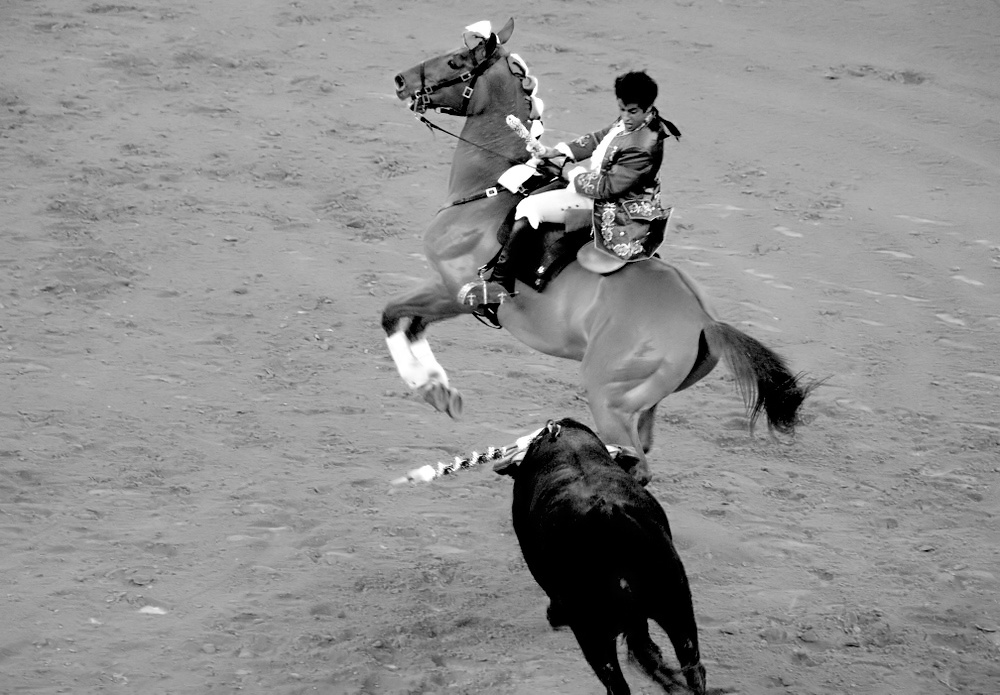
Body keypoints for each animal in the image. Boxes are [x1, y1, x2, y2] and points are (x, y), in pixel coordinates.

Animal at [382, 17, 812, 484]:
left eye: (458, 61)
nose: (401, 80)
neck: (490, 189)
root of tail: (704, 320)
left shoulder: (455, 290)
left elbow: (393, 313)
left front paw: (428, 386)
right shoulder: (447, 292)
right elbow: (406, 321)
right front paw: (438, 391)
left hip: (608, 397)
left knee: (632, 460)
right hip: (643, 404)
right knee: (642, 449)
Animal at [496, 418, 708, 695]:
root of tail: (607, 518)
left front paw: (554, 615)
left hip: (592, 631)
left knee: (617, 683)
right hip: (677, 604)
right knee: (692, 666)